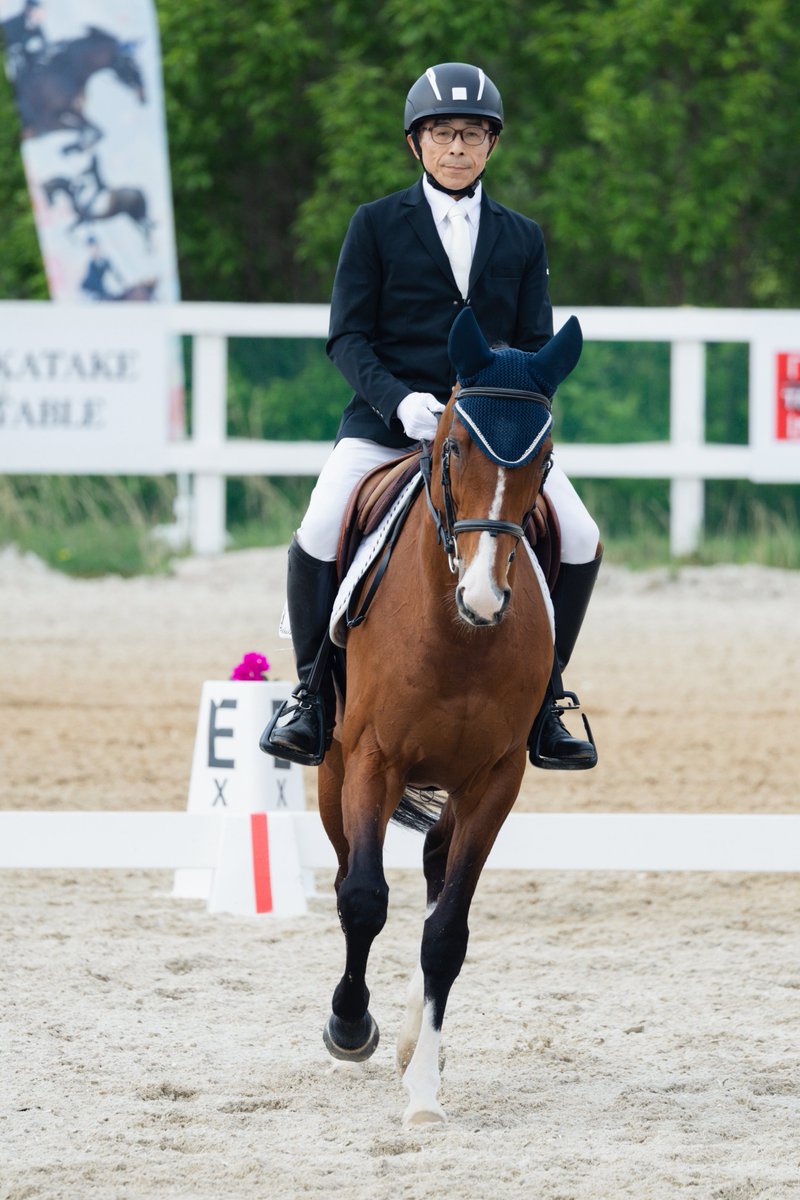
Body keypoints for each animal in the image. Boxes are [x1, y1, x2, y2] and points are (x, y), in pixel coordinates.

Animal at [14, 26, 146, 154]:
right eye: (130, 63)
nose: (144, 98)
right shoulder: (49, 122)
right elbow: (85, 130)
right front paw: (71, 148)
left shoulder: (77, 111)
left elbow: (97, 131)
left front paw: (76, 148)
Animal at [316, 307, 583, 1125]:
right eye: (455, 445)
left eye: (546, 458)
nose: (485, 600)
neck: (457, 634)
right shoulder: (372, 760)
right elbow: (363, 898)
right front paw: (349, 1027)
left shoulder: (495, 779)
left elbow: (447, 933)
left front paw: (425, 1093)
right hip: (333, 771)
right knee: (346, 871)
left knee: (436, 871)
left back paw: (410, 1043)